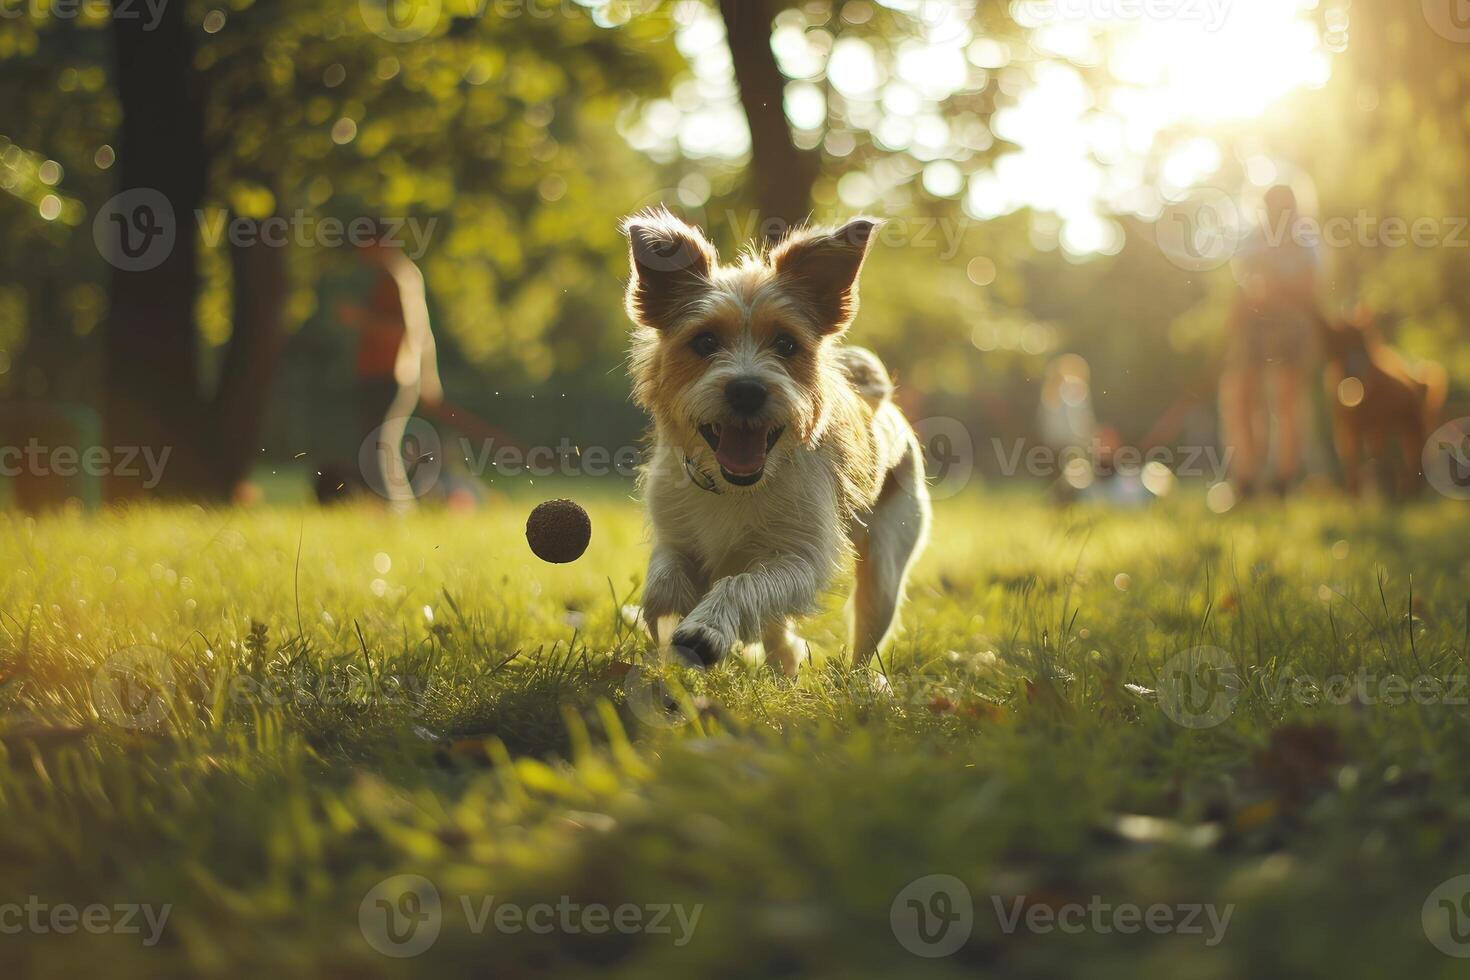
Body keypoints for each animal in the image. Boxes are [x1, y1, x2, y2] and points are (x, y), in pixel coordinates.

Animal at [623, 211, 929, 675]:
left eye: (786, 344)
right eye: (704, 342)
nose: (747, 390)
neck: (735, 488)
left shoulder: (800, 558)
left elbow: (743, 582)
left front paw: (706, 628)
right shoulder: (675, 538)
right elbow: (665, 579)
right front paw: (673, 609)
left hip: (884, 568)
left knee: (865, 635)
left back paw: (862, 681)